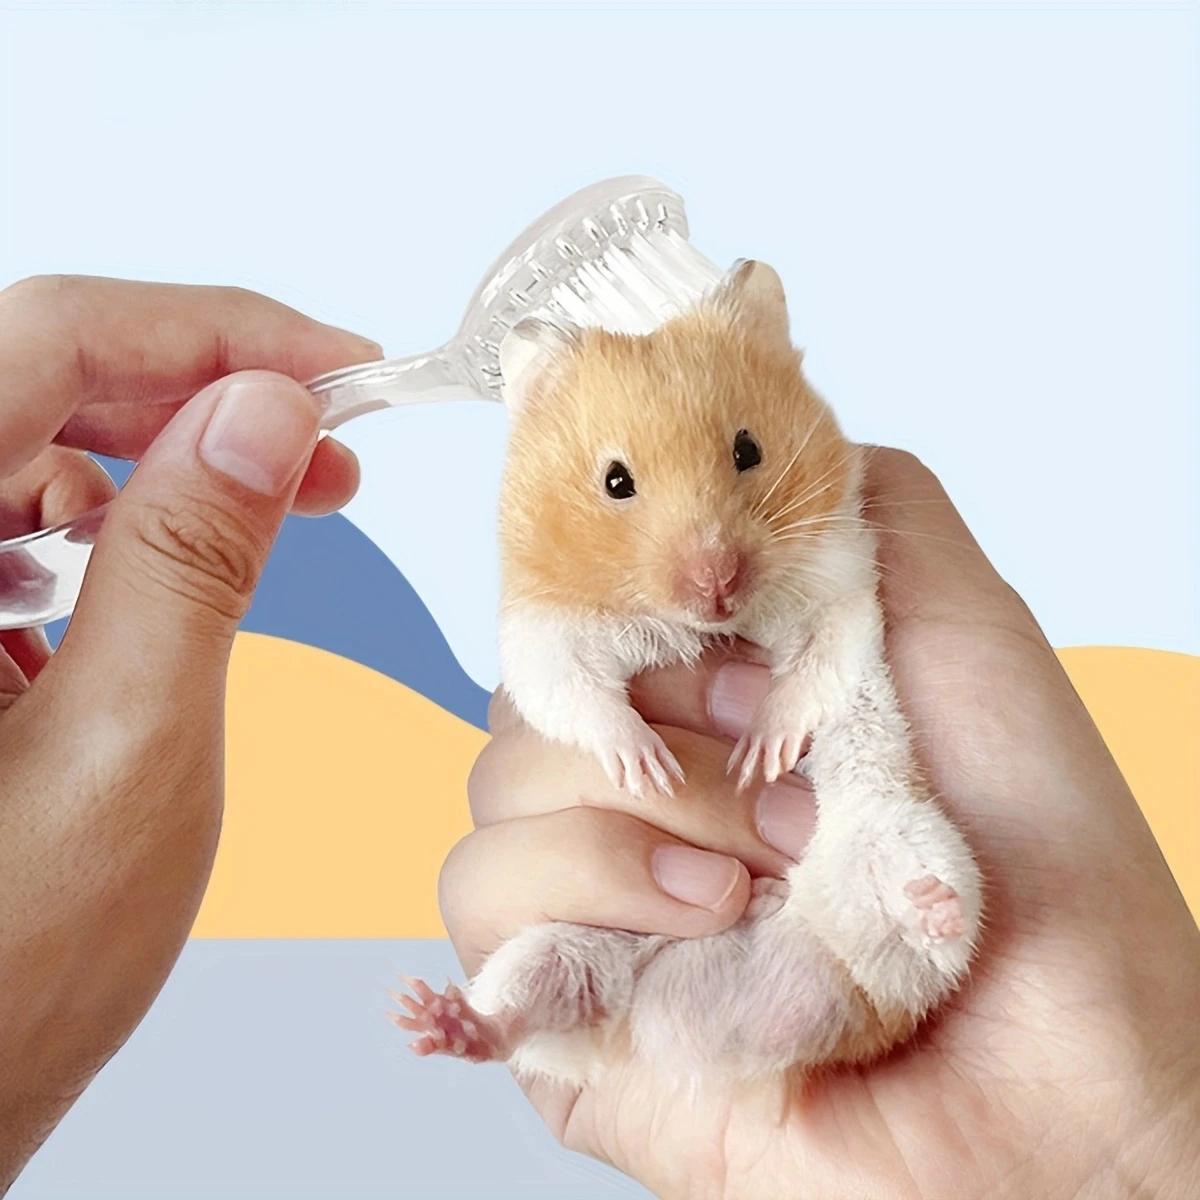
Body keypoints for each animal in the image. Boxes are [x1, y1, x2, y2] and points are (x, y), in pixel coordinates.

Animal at [393, 260, 982, 1085]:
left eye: (748, 449)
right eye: (615, 481)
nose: (716, 581)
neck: (705, 625)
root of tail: (713, 1034)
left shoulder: (841, 586)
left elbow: (819, 663)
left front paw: (758, 752)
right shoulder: (540, 631)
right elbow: (575, 696)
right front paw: (649, 770)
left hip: (903, 836)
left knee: (919, 939)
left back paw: (931, 905)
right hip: (557, 951)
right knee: (526, 1017)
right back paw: (440, 1021)